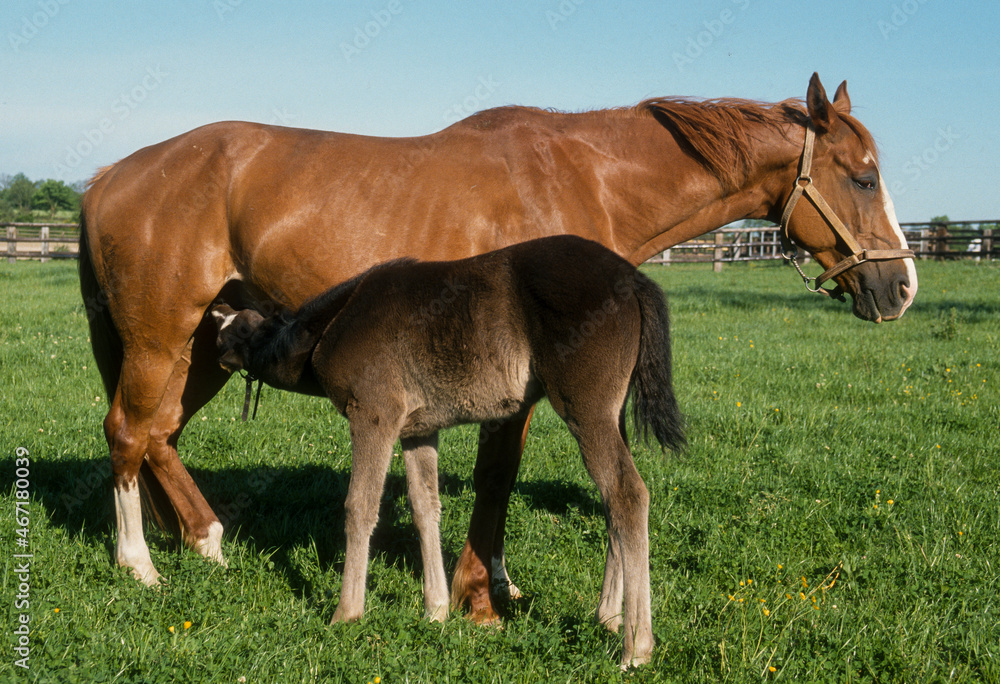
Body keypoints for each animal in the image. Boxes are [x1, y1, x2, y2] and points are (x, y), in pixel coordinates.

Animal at [78, 73, 917, 622]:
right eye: (864, 177)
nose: (902, 286)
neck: (587, 178)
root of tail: (107, 177)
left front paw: (494, 585)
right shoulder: (520, 389)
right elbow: (495, 480)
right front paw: (479, 597)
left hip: (203, 345)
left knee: (159, 434)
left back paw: (206, 541)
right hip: (160, 337)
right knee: (128, 432)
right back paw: (139, 564)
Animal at [210, 235, 685, 668]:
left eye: (239, 331)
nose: (217, 357)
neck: (334, 323)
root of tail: (633, 278)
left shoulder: (374, 415)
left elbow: (360, 507)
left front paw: (347, 613)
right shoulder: (417, 429)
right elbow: (425, 506)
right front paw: (435, 609)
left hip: (585, 410)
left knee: (626, 494)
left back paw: (636, 647)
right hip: (610, 414)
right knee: (612, 502)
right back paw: (608, 615)